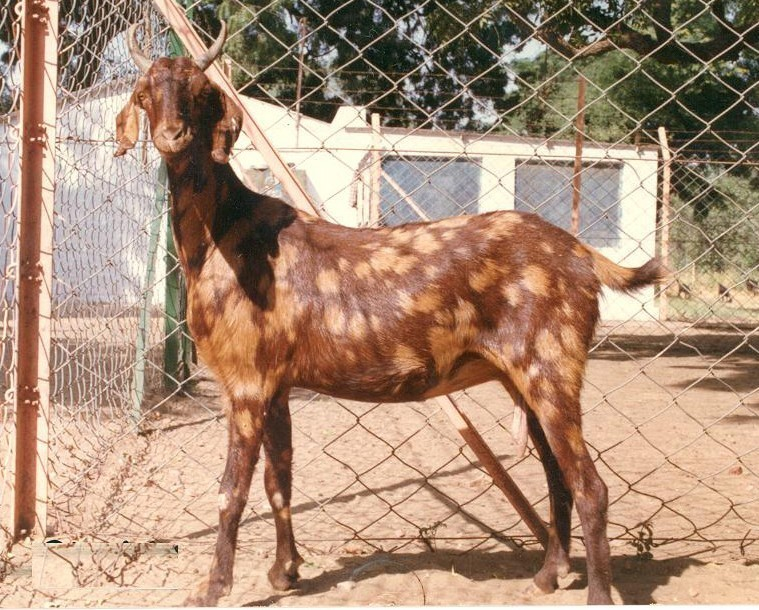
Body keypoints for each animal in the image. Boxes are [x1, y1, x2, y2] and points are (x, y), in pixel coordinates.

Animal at [116, 23, 665, 606]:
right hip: (526, 378)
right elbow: (278, 481)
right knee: (557, 475)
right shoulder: (277, 383)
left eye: (200, 92)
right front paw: (285, 572)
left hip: (552, 367)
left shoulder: (245, 381)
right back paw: (547, 575)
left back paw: (597, 592)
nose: (172, 135)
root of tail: (583, 255)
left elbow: (231, 492)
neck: (223, 234)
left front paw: (213, 587)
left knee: (590, 485)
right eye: (145, 93)